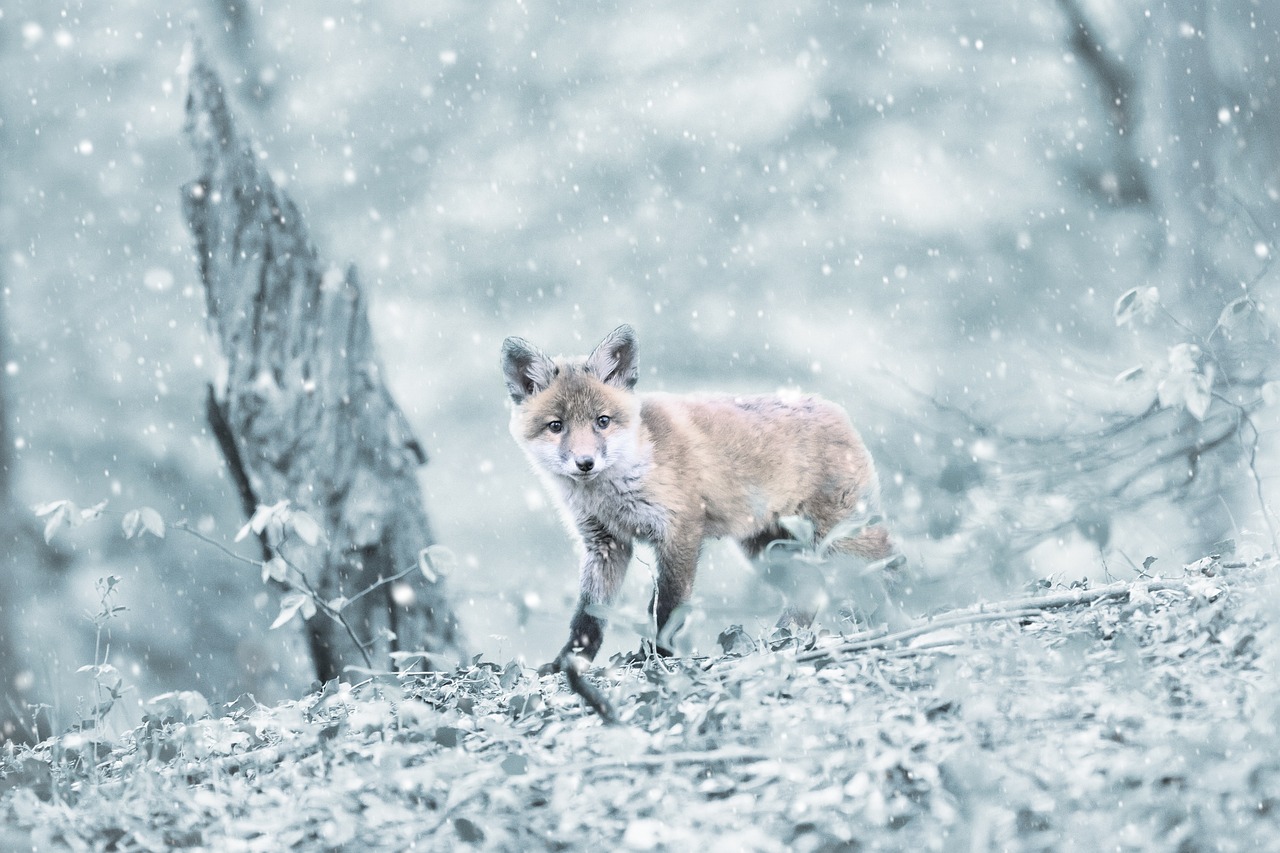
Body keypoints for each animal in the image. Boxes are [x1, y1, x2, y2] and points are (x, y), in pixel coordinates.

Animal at [501, 322, 901, 676]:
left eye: (602, 421)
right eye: (556, 426)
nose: (585, 463)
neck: (617, 488)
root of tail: (835, 409)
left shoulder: (680, 531)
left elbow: (668, 607)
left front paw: (655, 657)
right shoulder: (605, 545)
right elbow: (588, 617)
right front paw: (567, 663)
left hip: (840, 542)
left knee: (883, 576)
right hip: (769, 553)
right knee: (809, 595)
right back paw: (780, 643)